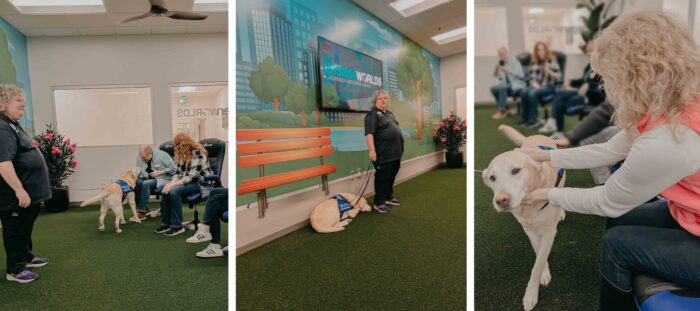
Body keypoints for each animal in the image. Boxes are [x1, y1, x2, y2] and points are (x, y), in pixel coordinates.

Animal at [482, 125, 568, 311]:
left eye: (516, 170)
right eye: (492, 178)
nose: (501, 200)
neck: (528, 208)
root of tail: (535, 136)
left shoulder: (549, 231)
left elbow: (537, 263)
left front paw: (531, 294)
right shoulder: (528, 229)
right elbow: (538, 253)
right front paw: (544, 271)